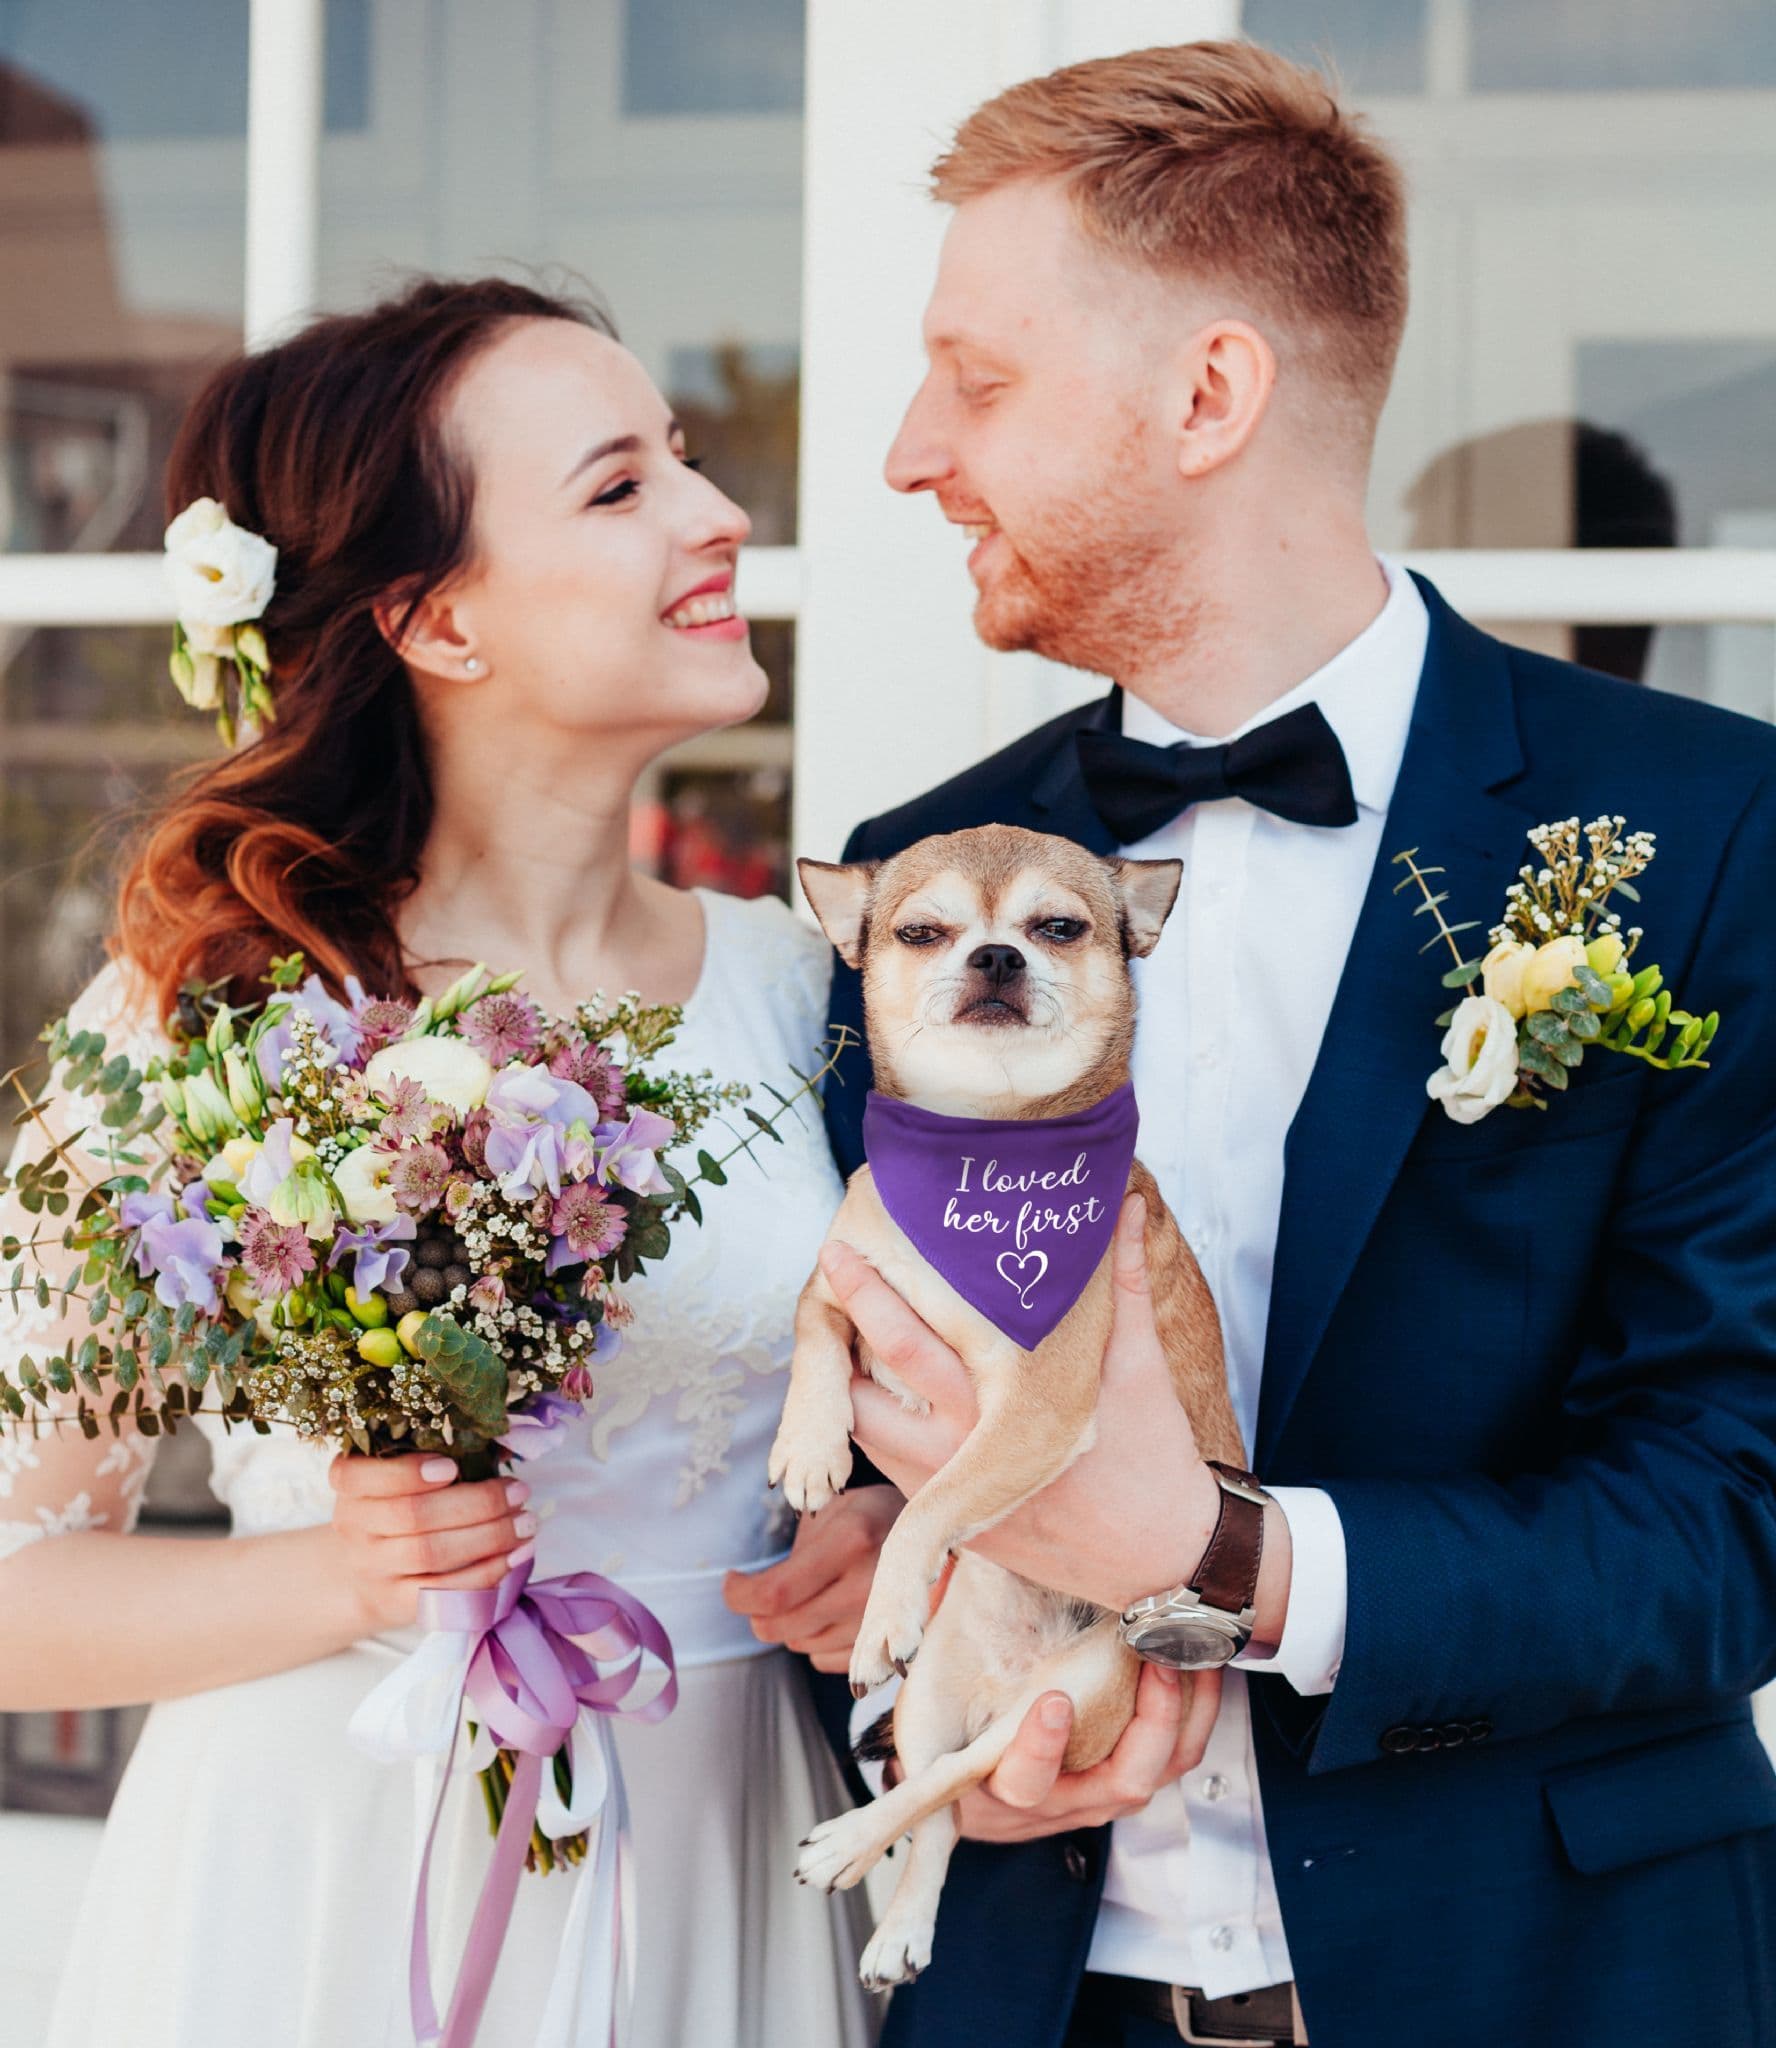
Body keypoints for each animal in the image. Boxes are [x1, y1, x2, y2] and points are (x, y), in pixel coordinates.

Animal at [770, 823, 1245, 1990]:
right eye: (923, 932)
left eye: (1058, 927)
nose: (995, 956)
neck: (979, 1145)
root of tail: (1005, 1680)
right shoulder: (844, 1274)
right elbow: (815, 1325)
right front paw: (809, 1444)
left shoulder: (1036, 1405)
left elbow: (933, 1502)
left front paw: (885, 1603)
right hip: (930, 1702)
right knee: (936, 1802)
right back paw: (896, 1918)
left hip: (1064, 1705)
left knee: (950, 1784)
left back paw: (847, 1846)